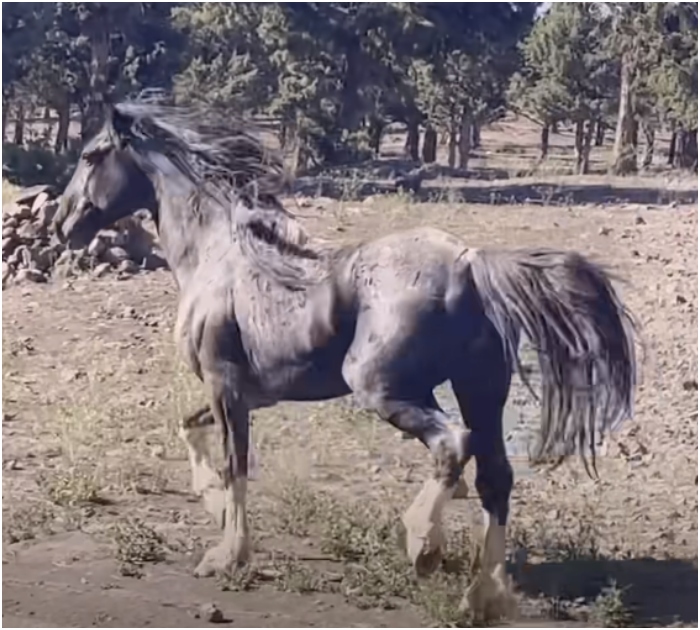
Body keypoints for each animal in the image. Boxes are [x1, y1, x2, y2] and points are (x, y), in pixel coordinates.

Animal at [53, 103, 636, 624]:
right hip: (478, 390)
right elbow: (190, 431)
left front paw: (226, 555)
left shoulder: (226, 386)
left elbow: (235, 463)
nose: (63, 223)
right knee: (495, 477)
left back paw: (421, 544)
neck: (219, 257)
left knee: (453, 445)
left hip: (383, 388)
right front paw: (215, 509)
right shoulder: (249, 394)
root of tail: (469, 263)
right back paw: (481, 599)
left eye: (90, 155)